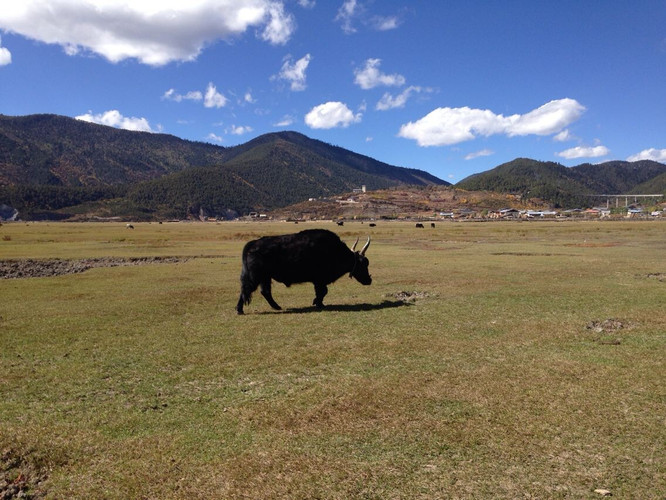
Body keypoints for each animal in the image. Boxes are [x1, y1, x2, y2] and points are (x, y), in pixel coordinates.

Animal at [233, 229, 370, 314]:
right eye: (364, 263)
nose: (369, 280)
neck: (335, 251)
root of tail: (253, 243)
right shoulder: (319, 280)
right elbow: (323, 291)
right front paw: (317, 303)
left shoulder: (318, 281)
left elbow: (322, 292)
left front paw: (318, 303)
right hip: (255, 277)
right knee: (246, 290)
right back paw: (239, 310)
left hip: (265, 277)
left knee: (265, 292)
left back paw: (277, 307)